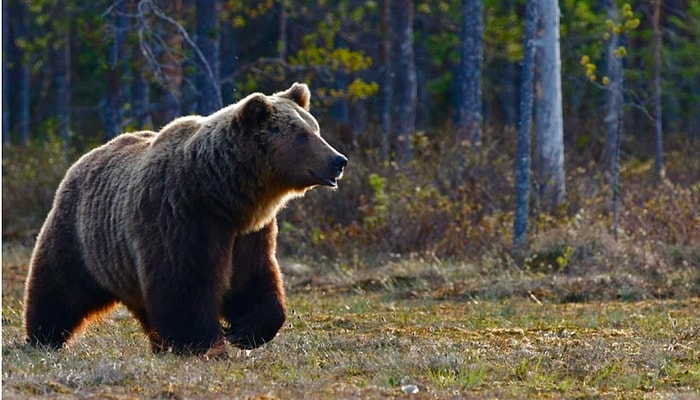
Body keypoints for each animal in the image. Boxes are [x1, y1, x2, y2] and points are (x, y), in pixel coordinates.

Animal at [22, 83, 348, 354]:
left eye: (316, 129)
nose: (339, 160)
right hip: (81, 235)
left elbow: (254, 279)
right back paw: (43, 337)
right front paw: (205, 342)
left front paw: (244, 332)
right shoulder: (180, 215)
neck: (221, 194)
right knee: (59, 286)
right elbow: (184, 284)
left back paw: (158, 344)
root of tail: (84, 158)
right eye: (302, 135)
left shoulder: (249, 233)